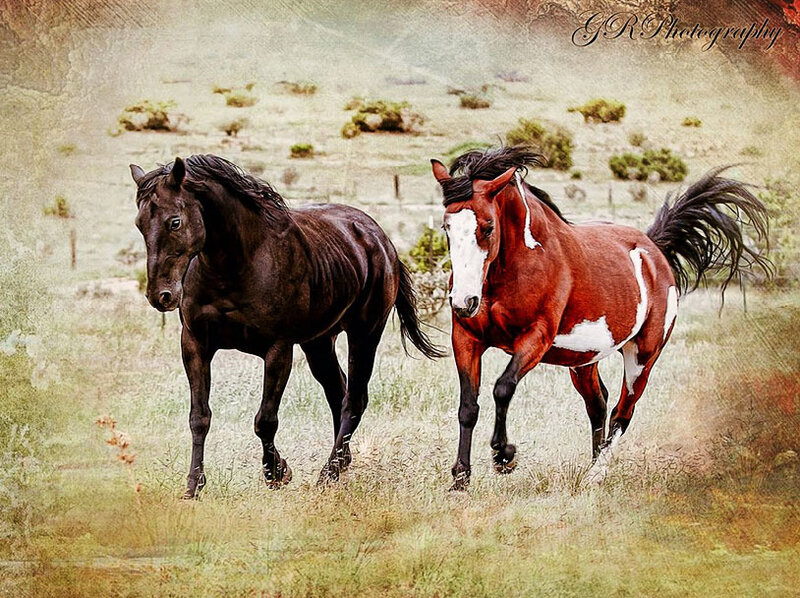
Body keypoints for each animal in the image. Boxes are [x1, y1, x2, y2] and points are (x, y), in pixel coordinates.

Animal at [130, 155, 443, 498]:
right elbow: (199, 417)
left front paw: (276, 473)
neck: (236, 264)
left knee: (354, 399)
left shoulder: (278, 350)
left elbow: (265, 420)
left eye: (174, 222)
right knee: (339, 392)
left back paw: (328, 474)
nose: (161, 296)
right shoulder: (195, 345)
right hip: (319, 343)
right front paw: (193, 487)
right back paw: (341, 464)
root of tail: (380, 239)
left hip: (364, 334)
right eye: (140, 224)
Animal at [430, 146, 770, 490]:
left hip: (642, 357)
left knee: (622, 412)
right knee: (599, 404)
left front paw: (504, 455)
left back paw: (596, 474)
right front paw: (460, 479)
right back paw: (591, 467)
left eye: (487, 227)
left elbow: (503, 388)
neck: (515, 266)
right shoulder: (467, 339)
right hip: (583, 361)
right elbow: (468, 407)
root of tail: (655, 250)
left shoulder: (536, 338)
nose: (464, 302)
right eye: (447, 227)